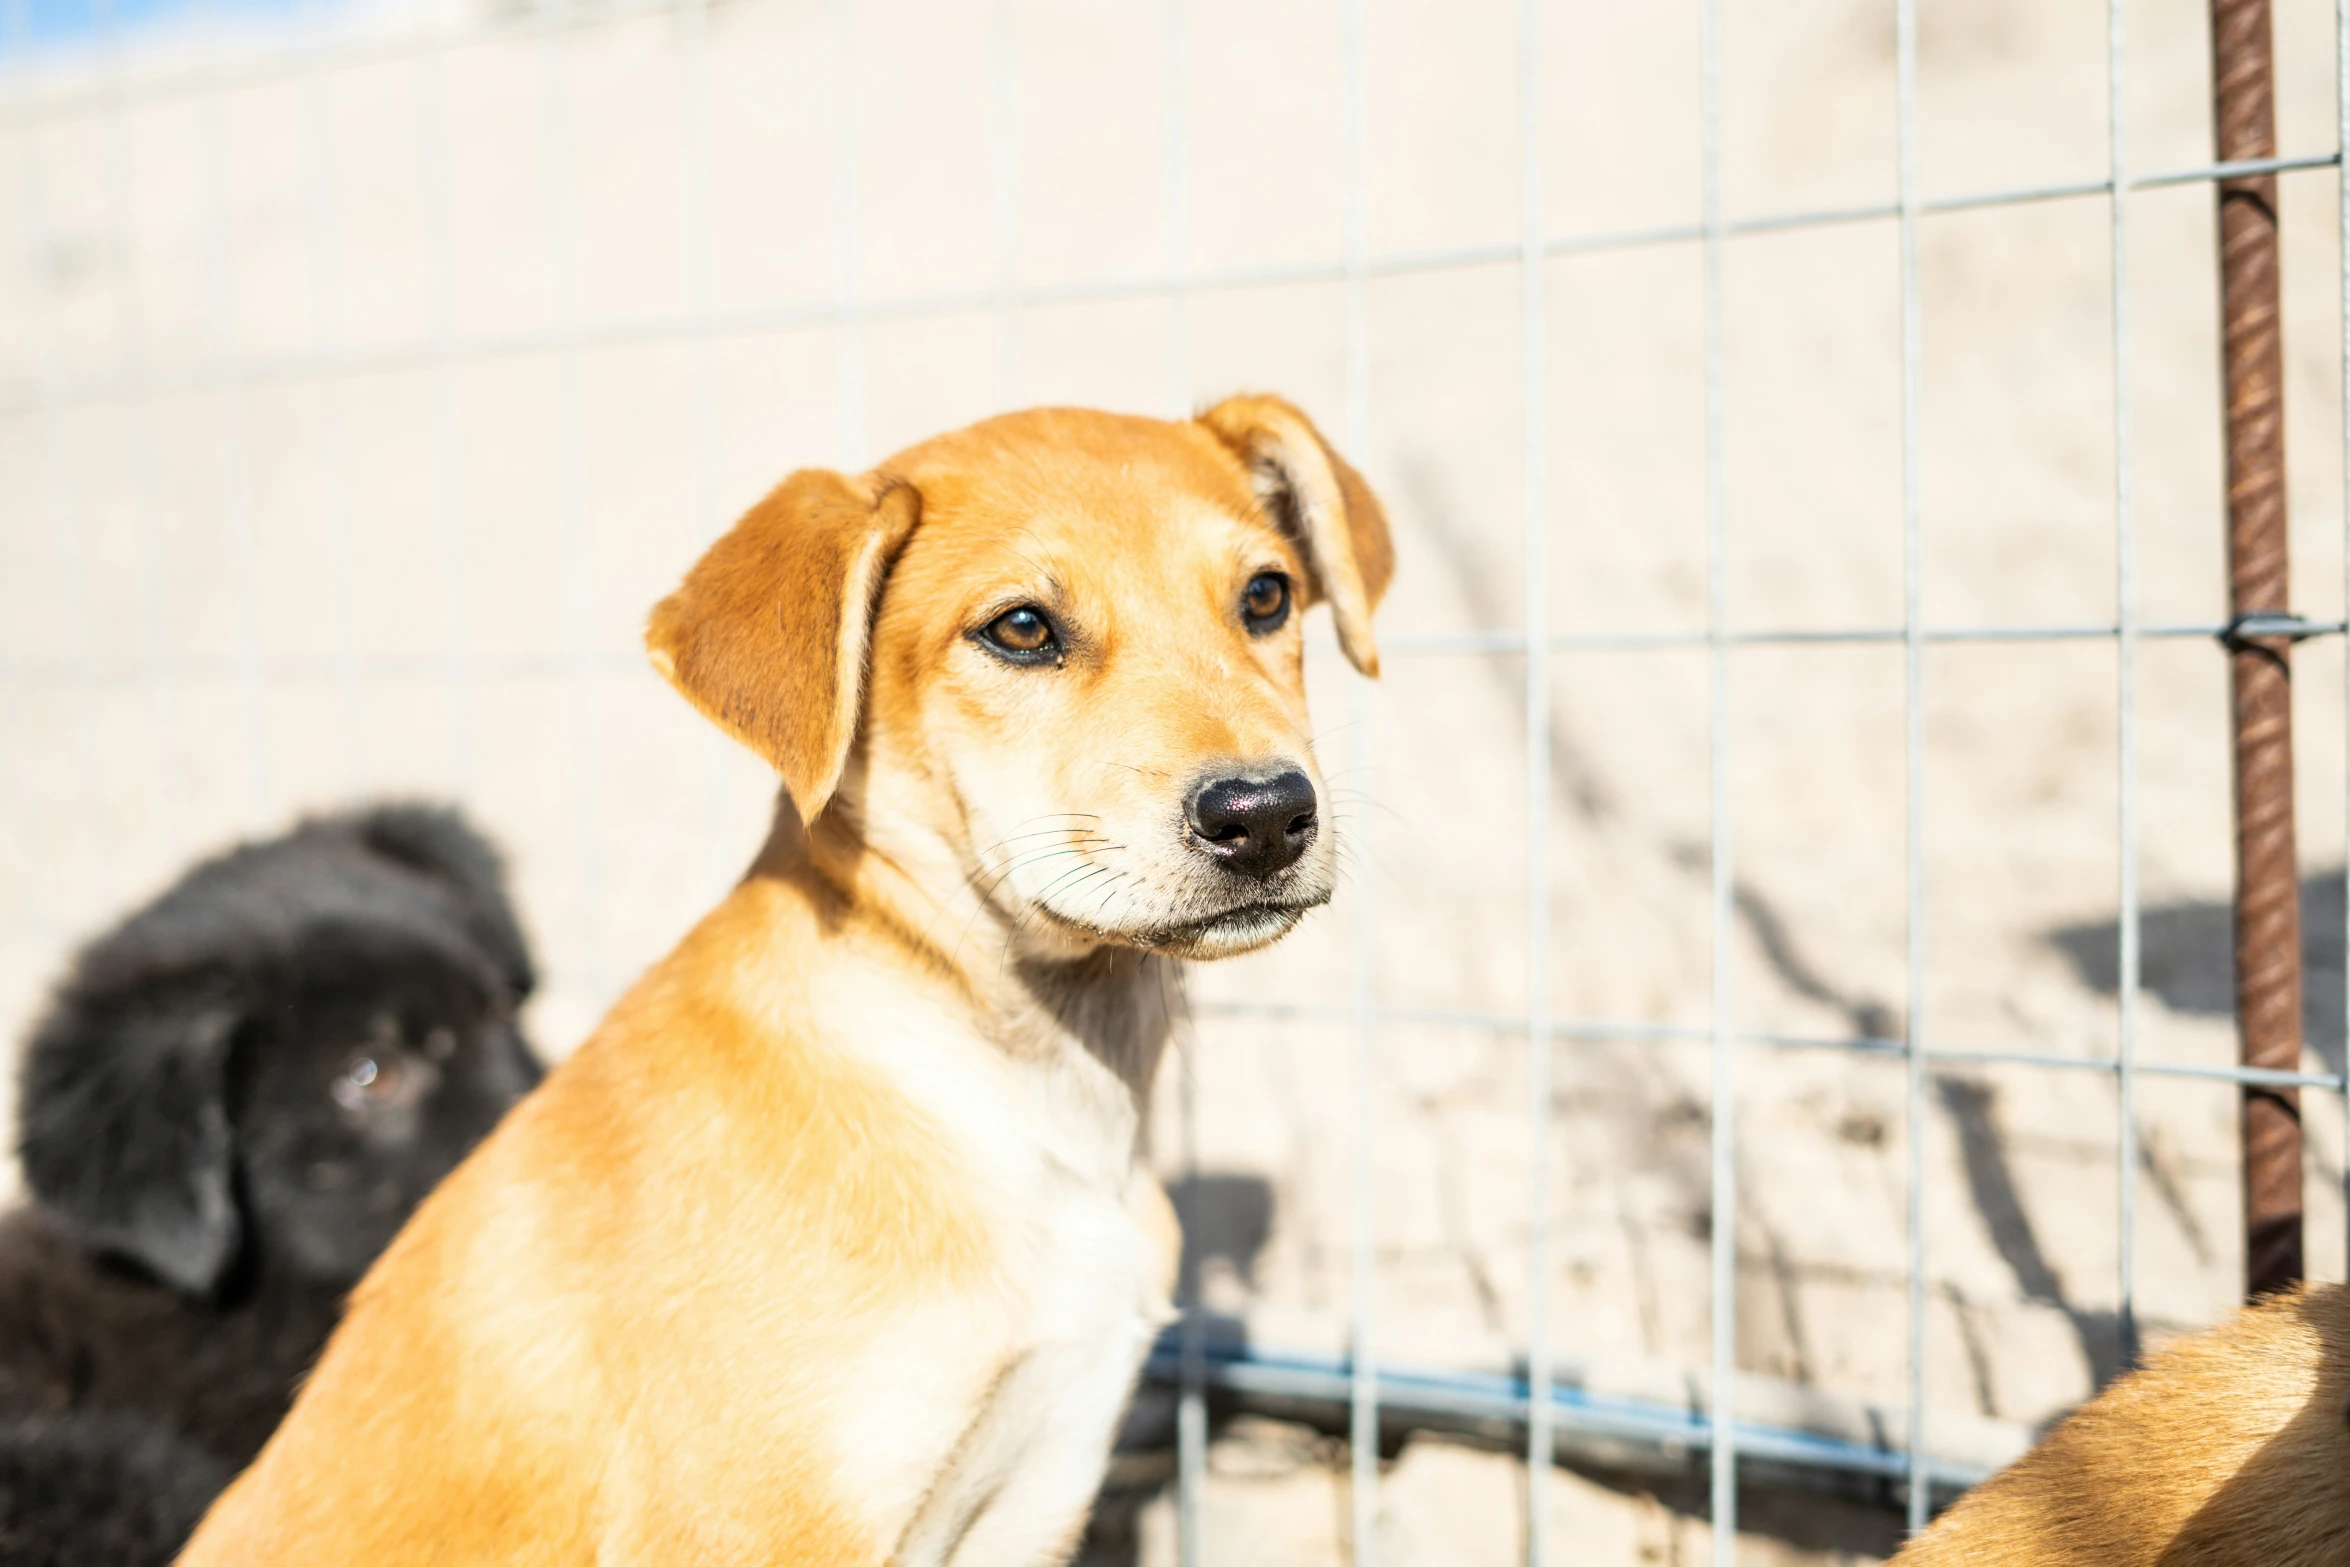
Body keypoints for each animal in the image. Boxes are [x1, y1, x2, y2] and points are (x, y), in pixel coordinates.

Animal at [188, 399, 1391, 1559]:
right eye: (1021, 629)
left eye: (1267, 596)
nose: (1265, 815)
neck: (1013, 1096)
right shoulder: (758, 1527)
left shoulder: (1036, 1487)